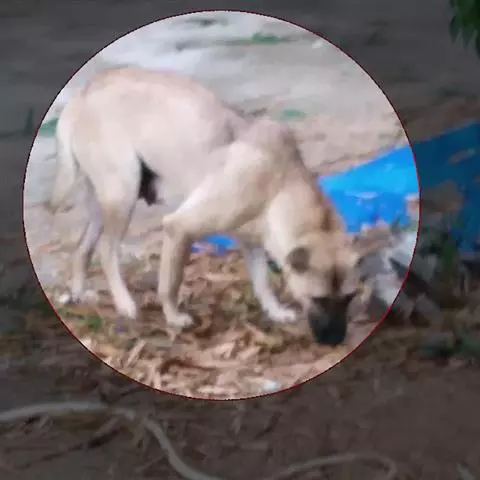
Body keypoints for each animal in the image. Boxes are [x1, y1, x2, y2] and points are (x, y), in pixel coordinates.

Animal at [47, 67, 362, 346]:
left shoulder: (251, 241)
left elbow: (262, 283)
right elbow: (170, 283)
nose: (336, 342)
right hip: (122, 196)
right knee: (106, 250)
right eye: (317, 299)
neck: (281, 181)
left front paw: (274, 311)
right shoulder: (179, 229)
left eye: (349, 298)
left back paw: (79, 294)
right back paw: (125, 304)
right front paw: (174, 317)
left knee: (81, 250)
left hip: (104, 205)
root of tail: (81, 96)